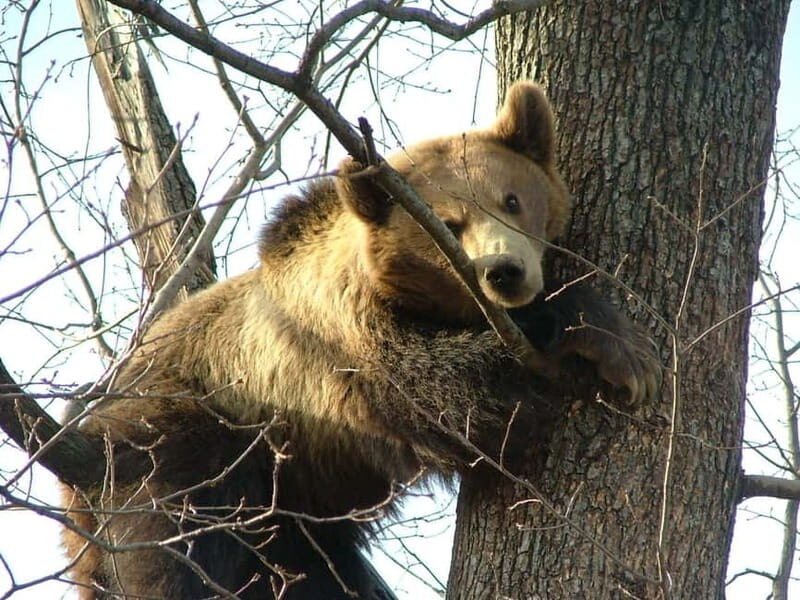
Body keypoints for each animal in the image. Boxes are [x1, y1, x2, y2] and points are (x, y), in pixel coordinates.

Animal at [60, 81, 659, 599]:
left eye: (511, 199)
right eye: (449, 223)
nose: (504, 271)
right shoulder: (338, 350)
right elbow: (446, 394)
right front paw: (610, 342)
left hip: (295, 527)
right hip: (175, 459)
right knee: (168, 560)